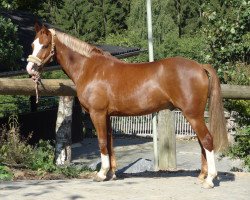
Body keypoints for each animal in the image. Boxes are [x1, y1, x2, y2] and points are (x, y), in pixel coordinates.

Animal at [26, 24, 228, 188]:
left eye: (45, 45)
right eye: (32, 45)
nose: (30, 69)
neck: (90, 68)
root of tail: (199, 66)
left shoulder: (97, 114)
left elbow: (102, 142)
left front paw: (101, 174)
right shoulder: (107, 116)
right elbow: (109, 142)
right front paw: (112, 173)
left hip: (193, 115)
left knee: (207, 140)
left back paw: (210, 179)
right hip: (194, 115)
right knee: (202, 143)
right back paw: (202, 176)